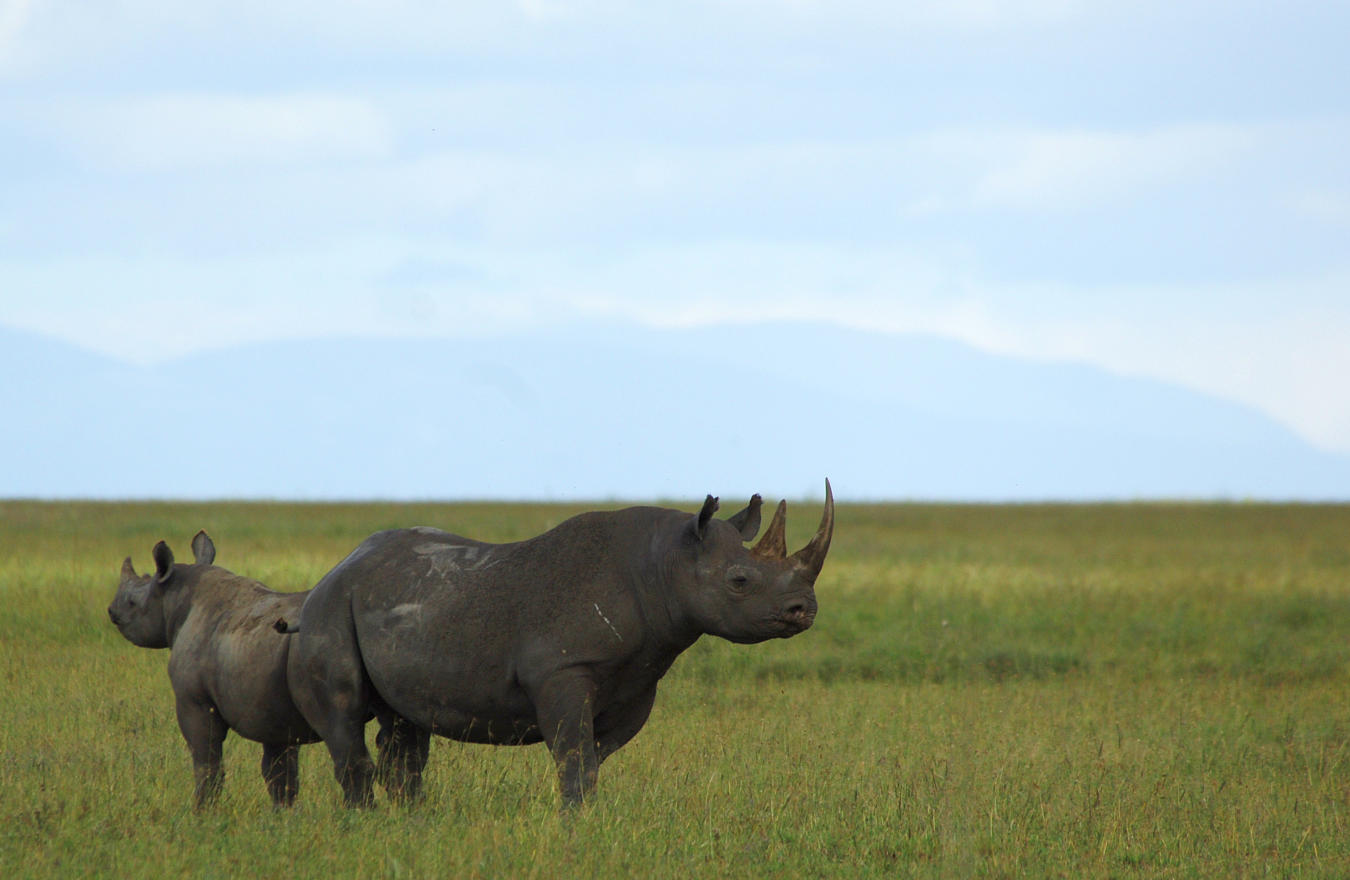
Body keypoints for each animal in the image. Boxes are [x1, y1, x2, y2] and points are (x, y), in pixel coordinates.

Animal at [108, 531, 318, 809]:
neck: (175, 596)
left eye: (132, 602)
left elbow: (206, 763)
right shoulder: (272, 707)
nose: (111, 610)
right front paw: (283, 814)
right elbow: (280, 773)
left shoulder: (194, 701)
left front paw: (202, 811)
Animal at [288, 485, 826, 809]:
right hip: (330, 608)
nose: (804, 610)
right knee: (345, 722)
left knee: (404, 730)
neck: (667, 561)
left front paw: (582, 823)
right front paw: (576, 835)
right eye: (739, 581)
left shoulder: (637, 682)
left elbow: (590, 762)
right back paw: (365, 823)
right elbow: (575, 760)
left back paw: (411, 825)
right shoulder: (560, 671)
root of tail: (339, 565)